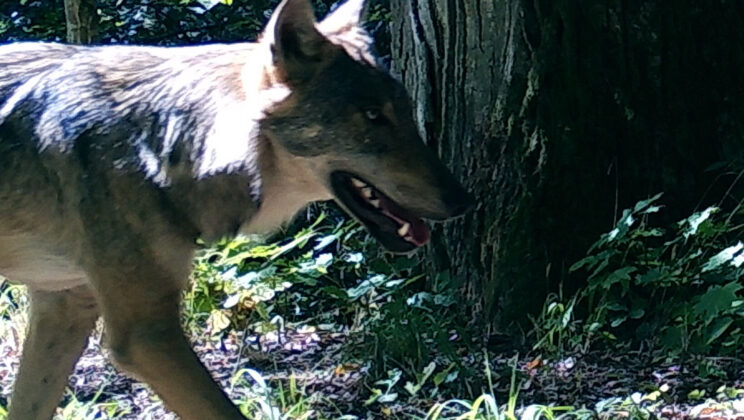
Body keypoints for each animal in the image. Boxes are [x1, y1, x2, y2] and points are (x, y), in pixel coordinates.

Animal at [0, 0, 472, 418]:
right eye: (373, 116)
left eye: (405, 112)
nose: (463, 200)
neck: (166, 144)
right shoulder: (145, 335)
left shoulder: (64, 306)